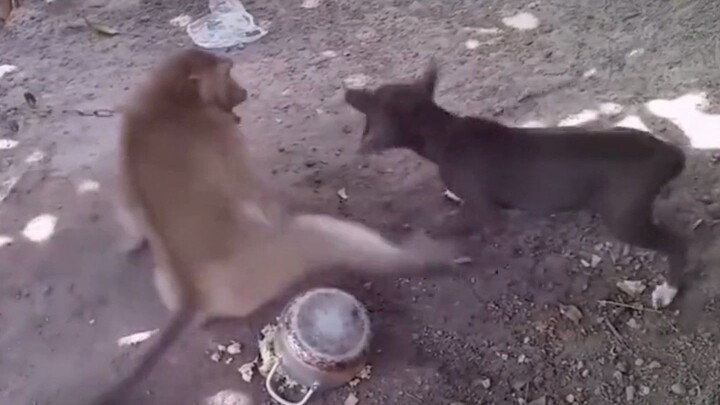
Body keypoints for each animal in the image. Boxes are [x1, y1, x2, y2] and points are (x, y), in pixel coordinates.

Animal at [89, 48, 457, 405]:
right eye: (228, 73)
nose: (243, 91)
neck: (169, 99)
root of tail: (193, 293)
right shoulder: (222, 133)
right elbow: (254, 193)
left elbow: (130, 209)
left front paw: (132, 241)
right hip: (268, 265)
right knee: (317, 235)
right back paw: (427, 259)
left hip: (167, 282)